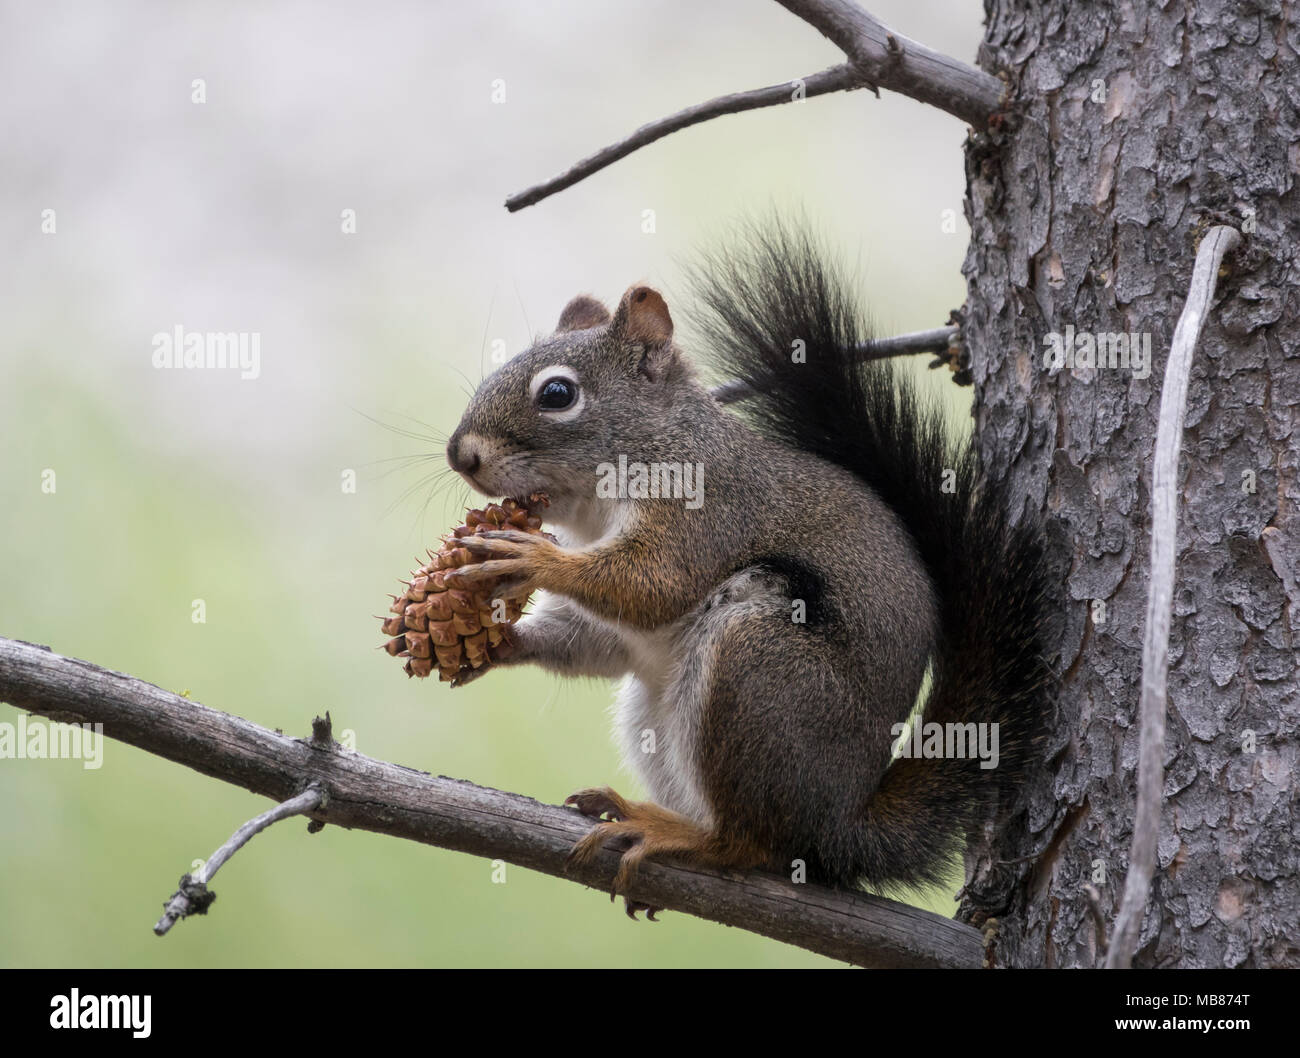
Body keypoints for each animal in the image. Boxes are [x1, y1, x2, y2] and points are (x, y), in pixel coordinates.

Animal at [441, 220, 1051, 909]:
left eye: (557, 393)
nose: (459, 454)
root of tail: (839, 824)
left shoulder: (707, 509)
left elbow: (654, 584)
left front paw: (532, 557)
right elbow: (595, 639)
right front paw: (495, 642)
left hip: (758, 667)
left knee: (753, 845)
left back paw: (675, 833)